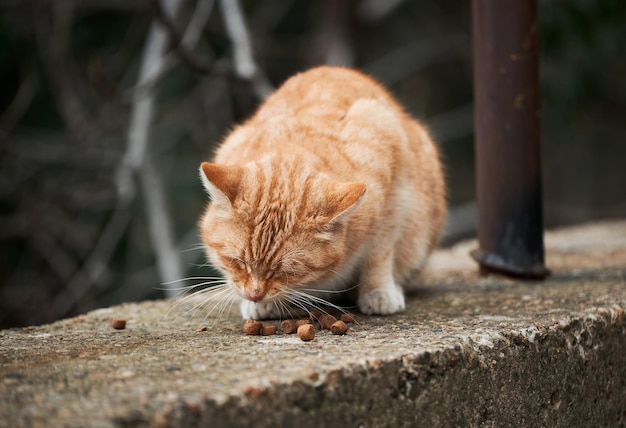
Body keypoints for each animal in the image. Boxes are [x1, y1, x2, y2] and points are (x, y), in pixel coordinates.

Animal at [196, 67, 444, 320]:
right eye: (236, 261)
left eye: (285, 271)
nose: (254, 295)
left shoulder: (392, 199)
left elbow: (378, 256)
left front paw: (378, 292)